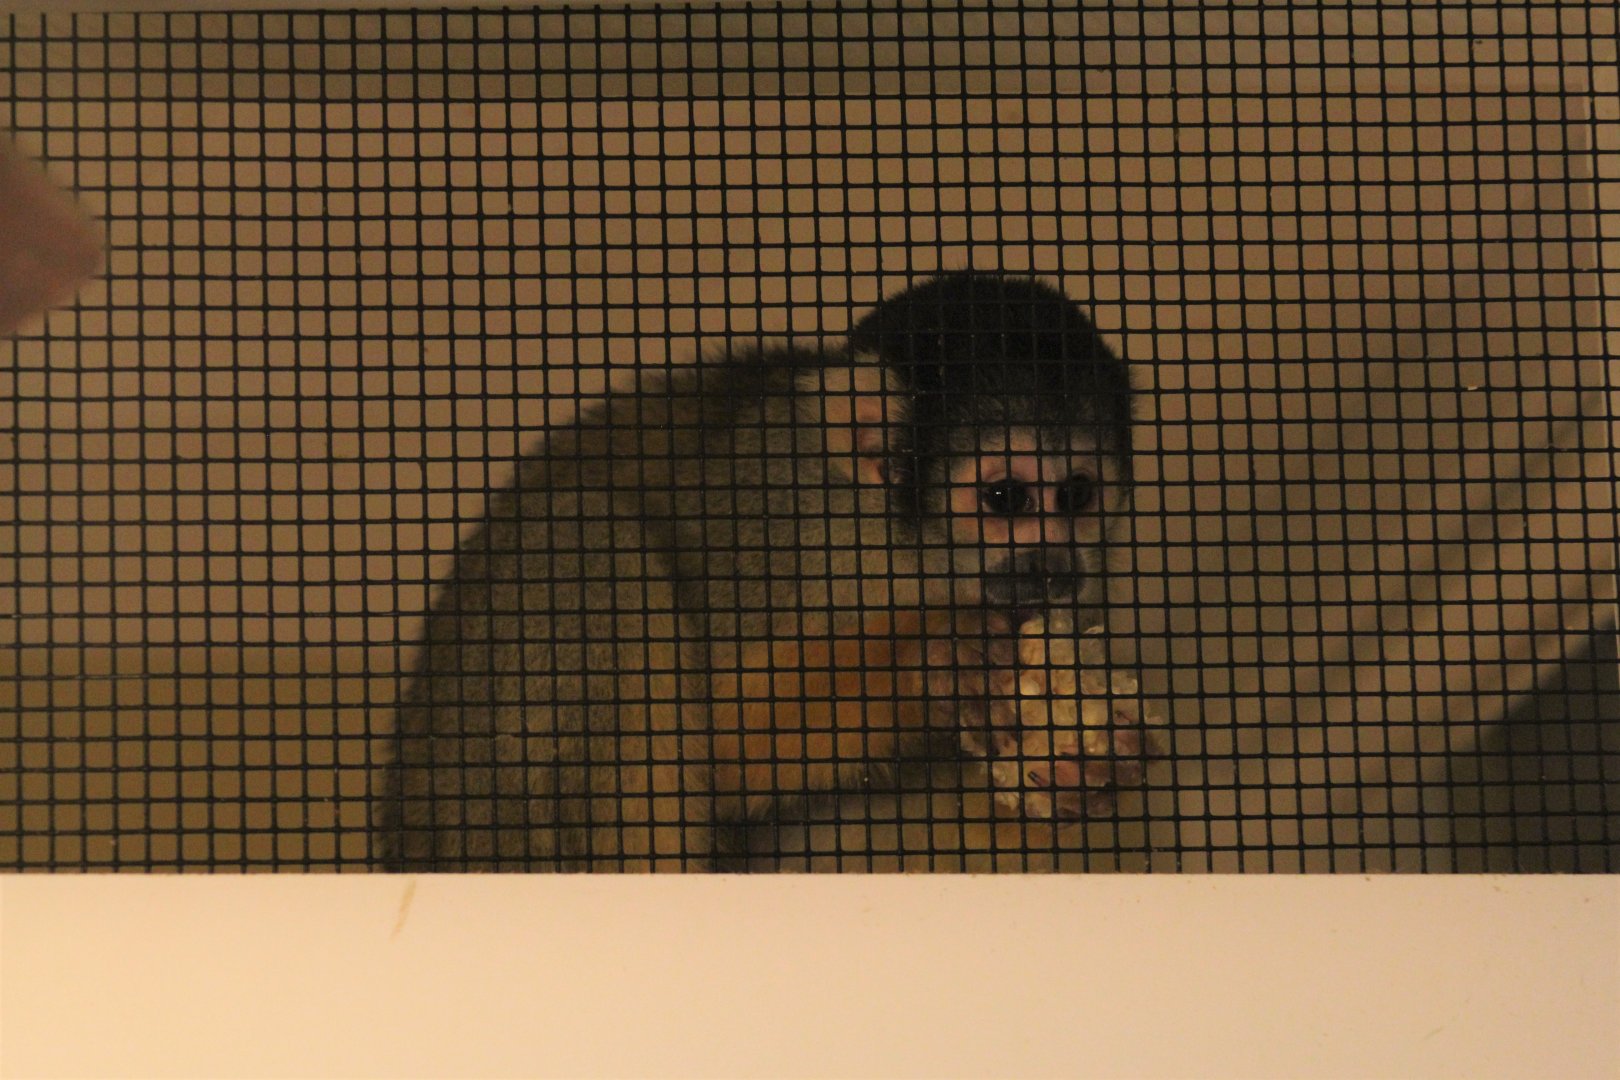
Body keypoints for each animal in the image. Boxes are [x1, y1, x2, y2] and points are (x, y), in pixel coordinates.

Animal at [375, 271, 1137, 872]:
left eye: (1077, 494)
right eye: (1006, 497)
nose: (1055, 569)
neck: (906, 554)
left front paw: (1074, 769)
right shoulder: (773, 516)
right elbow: (722, 737)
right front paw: (933, 654)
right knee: (583, 530)